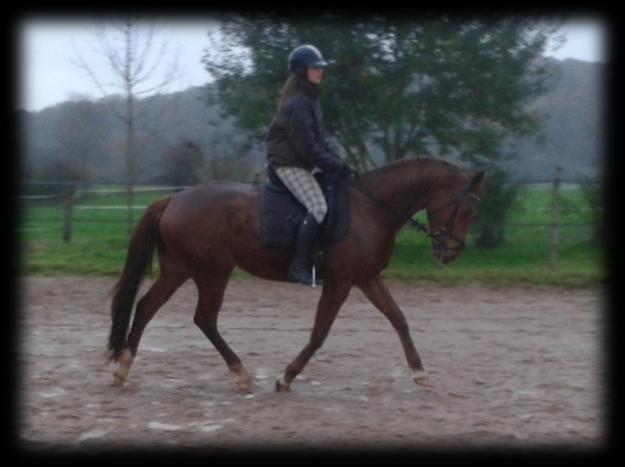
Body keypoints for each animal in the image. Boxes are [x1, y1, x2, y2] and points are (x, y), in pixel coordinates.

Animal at [108, 159, 482, 394]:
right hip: (212, 271)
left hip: (180, 269)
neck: (371, 208)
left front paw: (420, 372)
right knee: (204, 318)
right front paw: (286, 377)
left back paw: (123, 368)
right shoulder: (340, 282)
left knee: (146, 307)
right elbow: (319, 333)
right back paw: (241, 375)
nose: (450, 252)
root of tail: (173, 199)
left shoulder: (366, 277)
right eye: (466, 208)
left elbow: (398, 318)